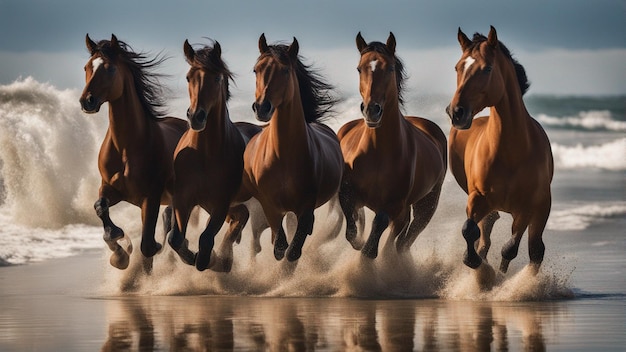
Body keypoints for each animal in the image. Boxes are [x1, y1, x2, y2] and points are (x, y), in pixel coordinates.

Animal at [77, 33, 186, 270]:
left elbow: (148, 245)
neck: (126, 147)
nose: (86, 101)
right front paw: (119, 251)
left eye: (110, 69)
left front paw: (129, 253)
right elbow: (100, 207)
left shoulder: (150, 198)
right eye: (86, 67)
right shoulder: (110, 188)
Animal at [165, 38, 262, 270]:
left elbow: (206, 239)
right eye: (188, 77)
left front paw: (213, 260)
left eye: (217, 78)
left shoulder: (220, 203)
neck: (205, 154)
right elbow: (175, 238)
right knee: (241, 215)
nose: (196, 116)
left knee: (244, 219)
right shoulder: (184, 199)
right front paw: (192, 257)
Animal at [243, 34, 344, 262]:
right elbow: (280, 247)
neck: (283, 155)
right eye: (255, 69)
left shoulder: (305, 208)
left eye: (285, 70)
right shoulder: (270, 206)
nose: (261, 107)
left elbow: (293, 250)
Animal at [336, 33, 448, 258]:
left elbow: (379, 225)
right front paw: (361, 242)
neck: (377, 152)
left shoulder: (395, 205)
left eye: (389, 68)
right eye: (359, 68)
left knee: (404, 240)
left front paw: (369, 253)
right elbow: (352, 232)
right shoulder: (347, 191)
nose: (372, 110)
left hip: (427, 205)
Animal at [444, 26, 552, 276]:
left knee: (535, 248)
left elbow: (510, 248)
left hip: (541, 209)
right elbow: (469, 231)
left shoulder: (526, 207)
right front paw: (475, 263)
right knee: (486, 234)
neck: (510, 153)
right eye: (457, 67)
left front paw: (499, 275)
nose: (456, 112)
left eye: (487, 68)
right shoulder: (477, 197)